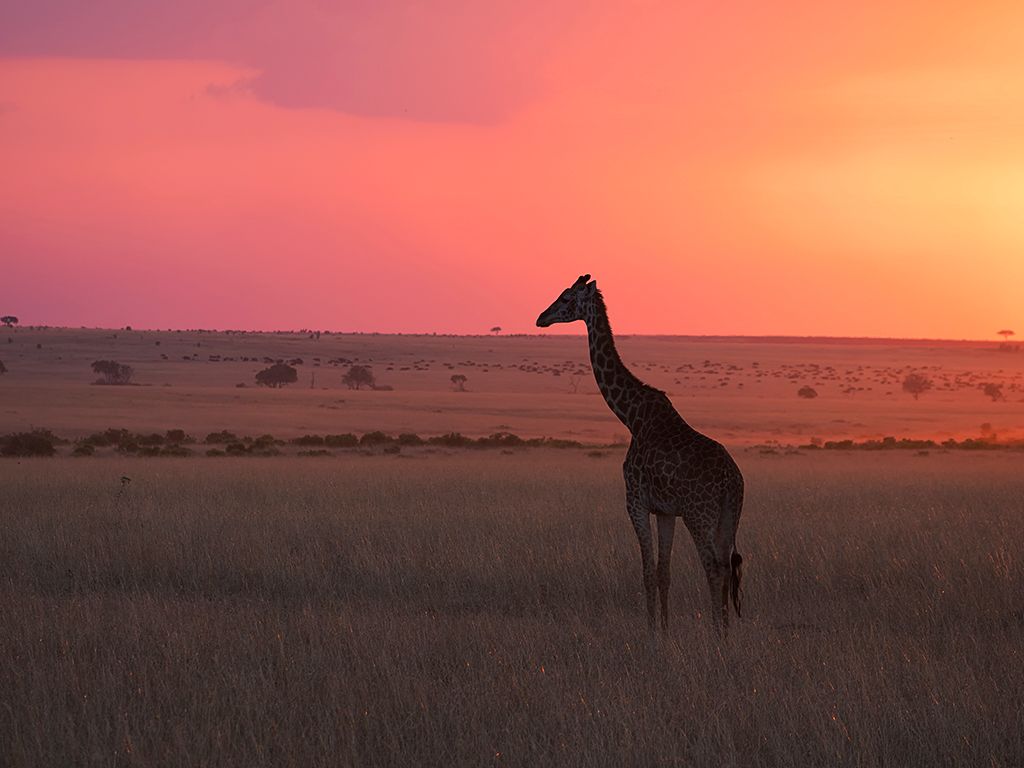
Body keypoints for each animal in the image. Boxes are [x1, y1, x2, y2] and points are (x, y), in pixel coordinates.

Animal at [536, 275, 744, 634]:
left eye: (565, 298)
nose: (541, 318)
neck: (631, 415)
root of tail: (732, 481)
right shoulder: (665, 511)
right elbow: (663, 572)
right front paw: (665, 628)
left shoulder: (635, 501)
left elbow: (647, 572)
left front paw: (651, 634)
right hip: (728, 517)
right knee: (728, 566)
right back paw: (727, 633)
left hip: (699, 515)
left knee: (714, 567)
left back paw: (717, 635)